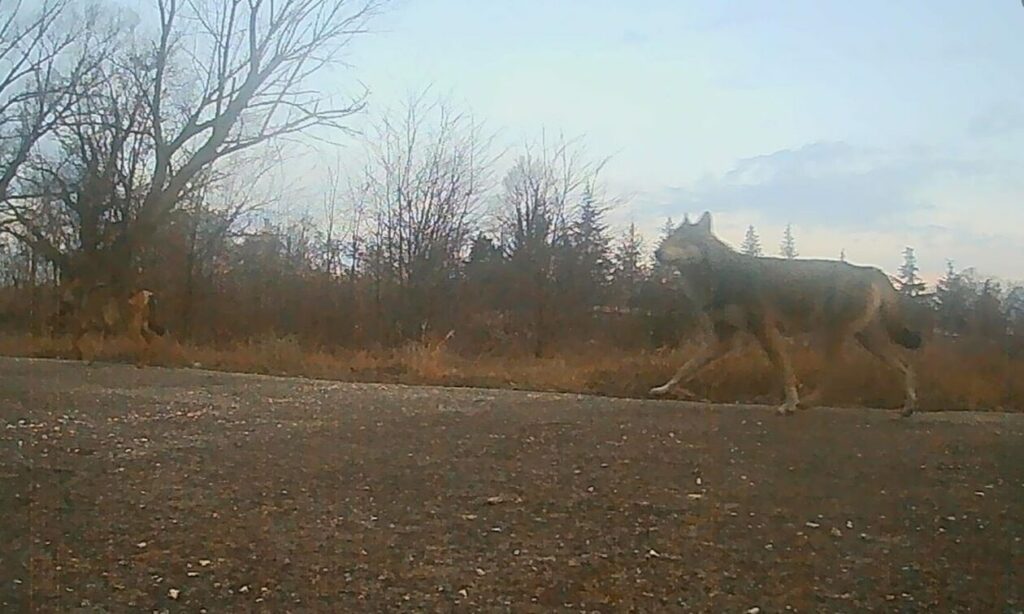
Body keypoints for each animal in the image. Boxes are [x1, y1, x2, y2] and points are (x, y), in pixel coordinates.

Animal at [651, 211, 925, 417]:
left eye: (681, 240)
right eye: (669, 238)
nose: (657, 253)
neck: (718, 278)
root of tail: (870, 270)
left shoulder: (765, 331)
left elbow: (785, 372)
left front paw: (789, 404)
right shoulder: (724, 340)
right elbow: (685, 367)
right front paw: (664, 388)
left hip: (833, 337)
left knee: (836, 374)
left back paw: (807, 402)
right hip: (867, 340)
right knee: (906, 366)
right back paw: (908, 408)